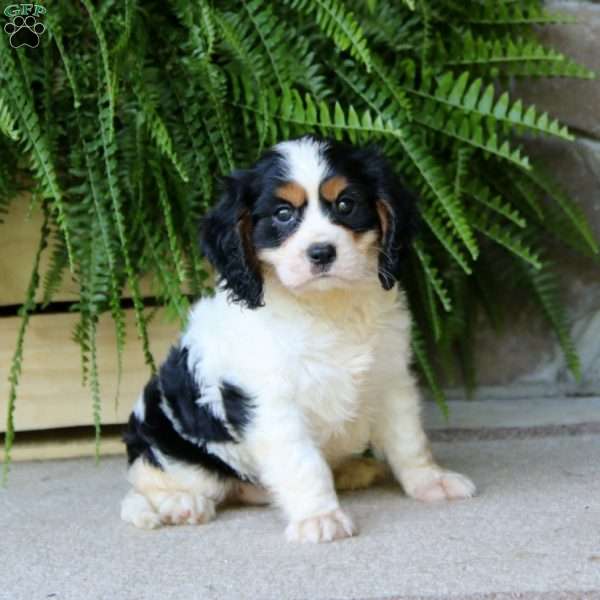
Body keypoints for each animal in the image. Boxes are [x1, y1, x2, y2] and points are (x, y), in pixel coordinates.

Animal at [122, 136, 476, 544]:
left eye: (346, 204)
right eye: (282, 214)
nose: (321, 252)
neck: (326, 307)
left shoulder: (390, 379)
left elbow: (408, 439)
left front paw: (430, 481)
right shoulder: (270, 403)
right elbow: (303, 463)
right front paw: (319, 517)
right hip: (177, 452)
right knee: (143, 483)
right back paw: (180, 503)